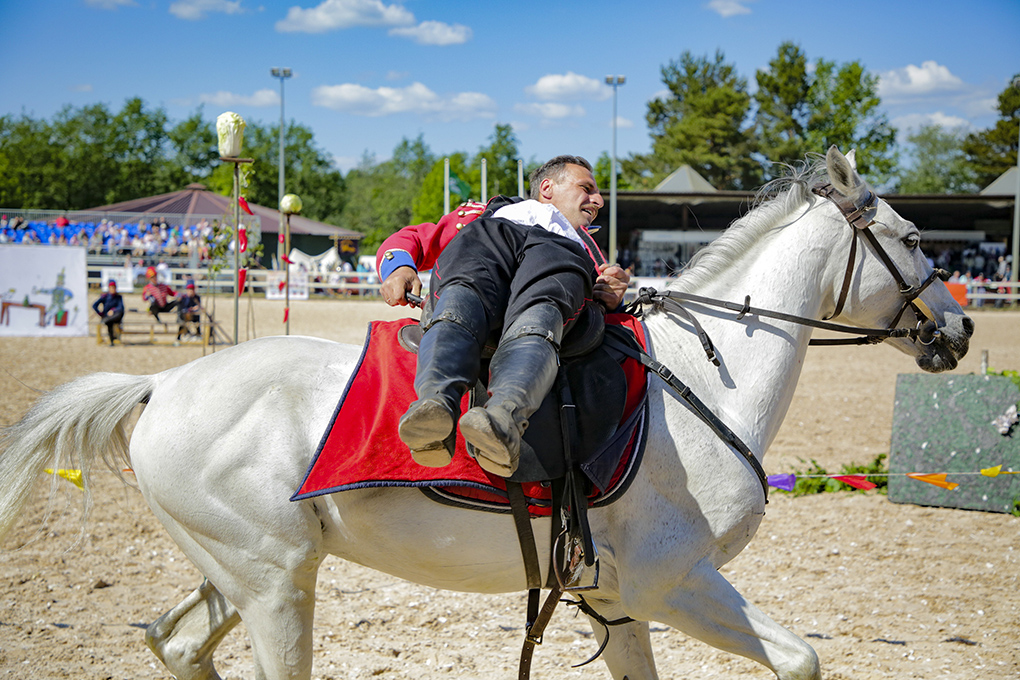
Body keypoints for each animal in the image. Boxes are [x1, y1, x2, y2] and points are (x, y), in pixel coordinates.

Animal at [0, 148, 971, 680]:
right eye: (916, 239)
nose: (959, 328)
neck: (704, 381)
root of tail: (164, 386)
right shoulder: (676, 583)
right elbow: (803, 657)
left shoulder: (618, 602)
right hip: (275, 589)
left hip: (242, 574)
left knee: (179, 645)